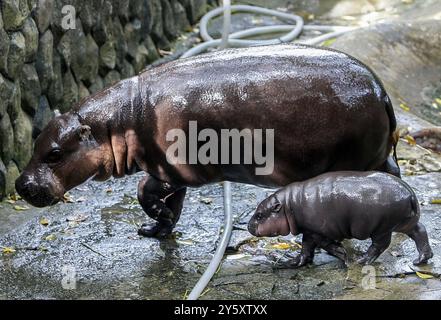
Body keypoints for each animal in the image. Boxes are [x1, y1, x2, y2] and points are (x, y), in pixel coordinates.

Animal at [15, 43, 398, 238]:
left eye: (53, 154)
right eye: (35, 142)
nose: (20, 185)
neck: (114, 121)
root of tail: (381, 90)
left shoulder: (168, 168)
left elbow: (144, 193)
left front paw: (154, 218)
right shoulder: (168, 171)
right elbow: (171, 202)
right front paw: (155, 229)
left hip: (352, 160)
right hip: (380, 154)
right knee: (393, 176)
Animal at [248, 171, 434, 266]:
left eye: (259, 215)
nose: (249, 226)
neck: (289, 205)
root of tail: (410, 194)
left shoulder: (315, 231)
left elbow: (317, 245)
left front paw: (342, 254)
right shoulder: (310, 231)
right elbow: (306, 248)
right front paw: (295, 261)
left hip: (382, 228)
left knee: (380, 245)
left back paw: (362, 260)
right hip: (405, 223)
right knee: (420, 231)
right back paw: (421, 260)